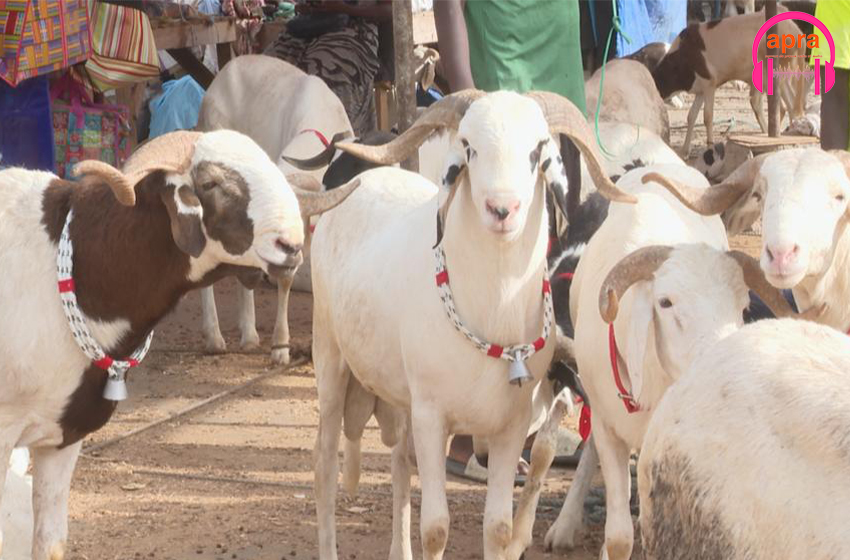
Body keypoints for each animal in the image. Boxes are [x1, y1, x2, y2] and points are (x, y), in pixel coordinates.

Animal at [309, 89, 637, 560]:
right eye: (468, 146)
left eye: (537, 150)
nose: (502, 209)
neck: (492, 310)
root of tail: (366, 181)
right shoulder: (432, 417)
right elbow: (435, 528)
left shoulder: (510, 427)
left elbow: (498, 527)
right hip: (330, 357)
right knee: (324, 467)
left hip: (399, 393)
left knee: (398, 466)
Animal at [653, 9, 807, 156]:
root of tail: (795, 30)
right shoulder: (700, 90)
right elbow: (691, 116)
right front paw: (685, 151)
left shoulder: (709, 84)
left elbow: (707, 117)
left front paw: (710, 147)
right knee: (787, 105)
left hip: (774, 74)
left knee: (786, 105)